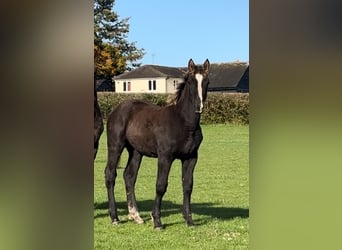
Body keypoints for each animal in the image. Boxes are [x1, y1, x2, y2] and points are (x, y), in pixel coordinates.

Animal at [104, 58, 210, 229]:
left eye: (207, 82)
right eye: (191, 82)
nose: (198, 106)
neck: (184, 123)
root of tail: (117, 109)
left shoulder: (191, 157)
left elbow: (188, 186)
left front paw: (189, 220)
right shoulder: (165, 156)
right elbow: (161, 186)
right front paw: (157, 221)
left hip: (136, 151)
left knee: (129, 176)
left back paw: (136, 215)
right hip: (115, 146)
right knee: (110, 174)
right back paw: (114, 218)